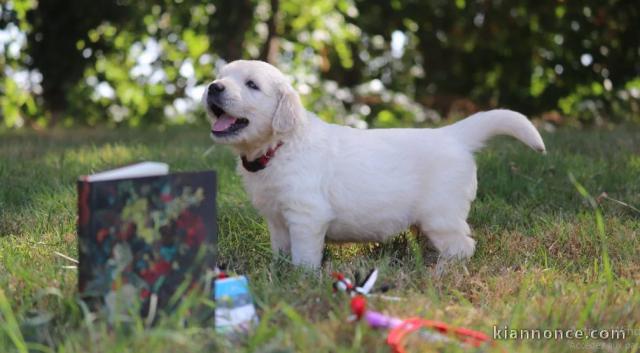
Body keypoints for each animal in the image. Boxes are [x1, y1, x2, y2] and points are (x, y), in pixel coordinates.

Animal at [205, 60, 544, 268]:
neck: (280, 146)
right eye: (221, 75)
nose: (213, 87)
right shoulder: (277, 220)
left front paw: (301, 279)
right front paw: (278, 273)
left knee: (462, 247)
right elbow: (280, 251)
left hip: (442, 214)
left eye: (252, 84)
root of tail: (453, 135)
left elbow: (304, 257)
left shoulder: (306, 215)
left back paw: (439, 275)